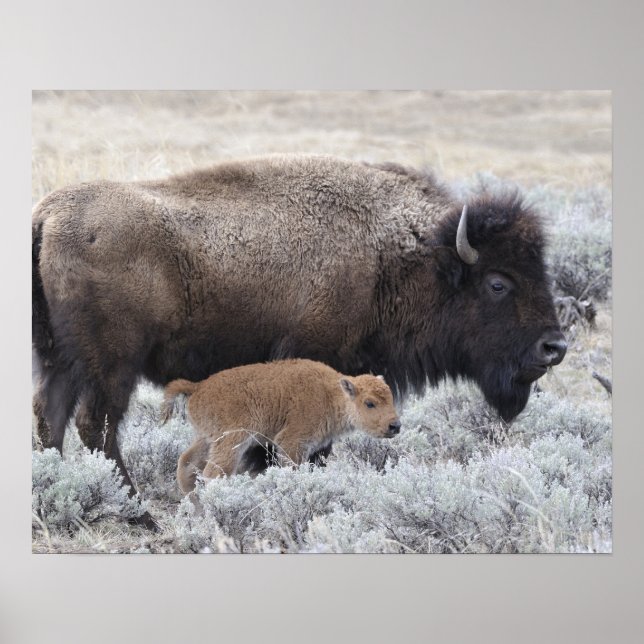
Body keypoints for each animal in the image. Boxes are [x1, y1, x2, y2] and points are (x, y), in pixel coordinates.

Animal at [160, 359, 401, 494]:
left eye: (390, 397)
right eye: (369, 403)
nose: (395, 426)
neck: (332, 394)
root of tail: (198, 386)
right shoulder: (292, 442)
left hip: (206, 439)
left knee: (186, 464)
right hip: (231, 441)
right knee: (213, 473)